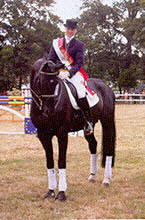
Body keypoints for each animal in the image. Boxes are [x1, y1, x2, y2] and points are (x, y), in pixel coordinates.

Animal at [30, 58, 116, 201]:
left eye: (55, 82)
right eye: (44, 81)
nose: (48, 112)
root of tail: (105, 85)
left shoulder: (62, 133)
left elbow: (61, 161)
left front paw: (61, 193)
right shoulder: (44, 136)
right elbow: (49, 162)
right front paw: (50, 191)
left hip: (107, 122)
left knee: (108, 148)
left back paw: (106, 180)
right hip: (89, 127)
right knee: (93, 144)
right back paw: (92, 176)